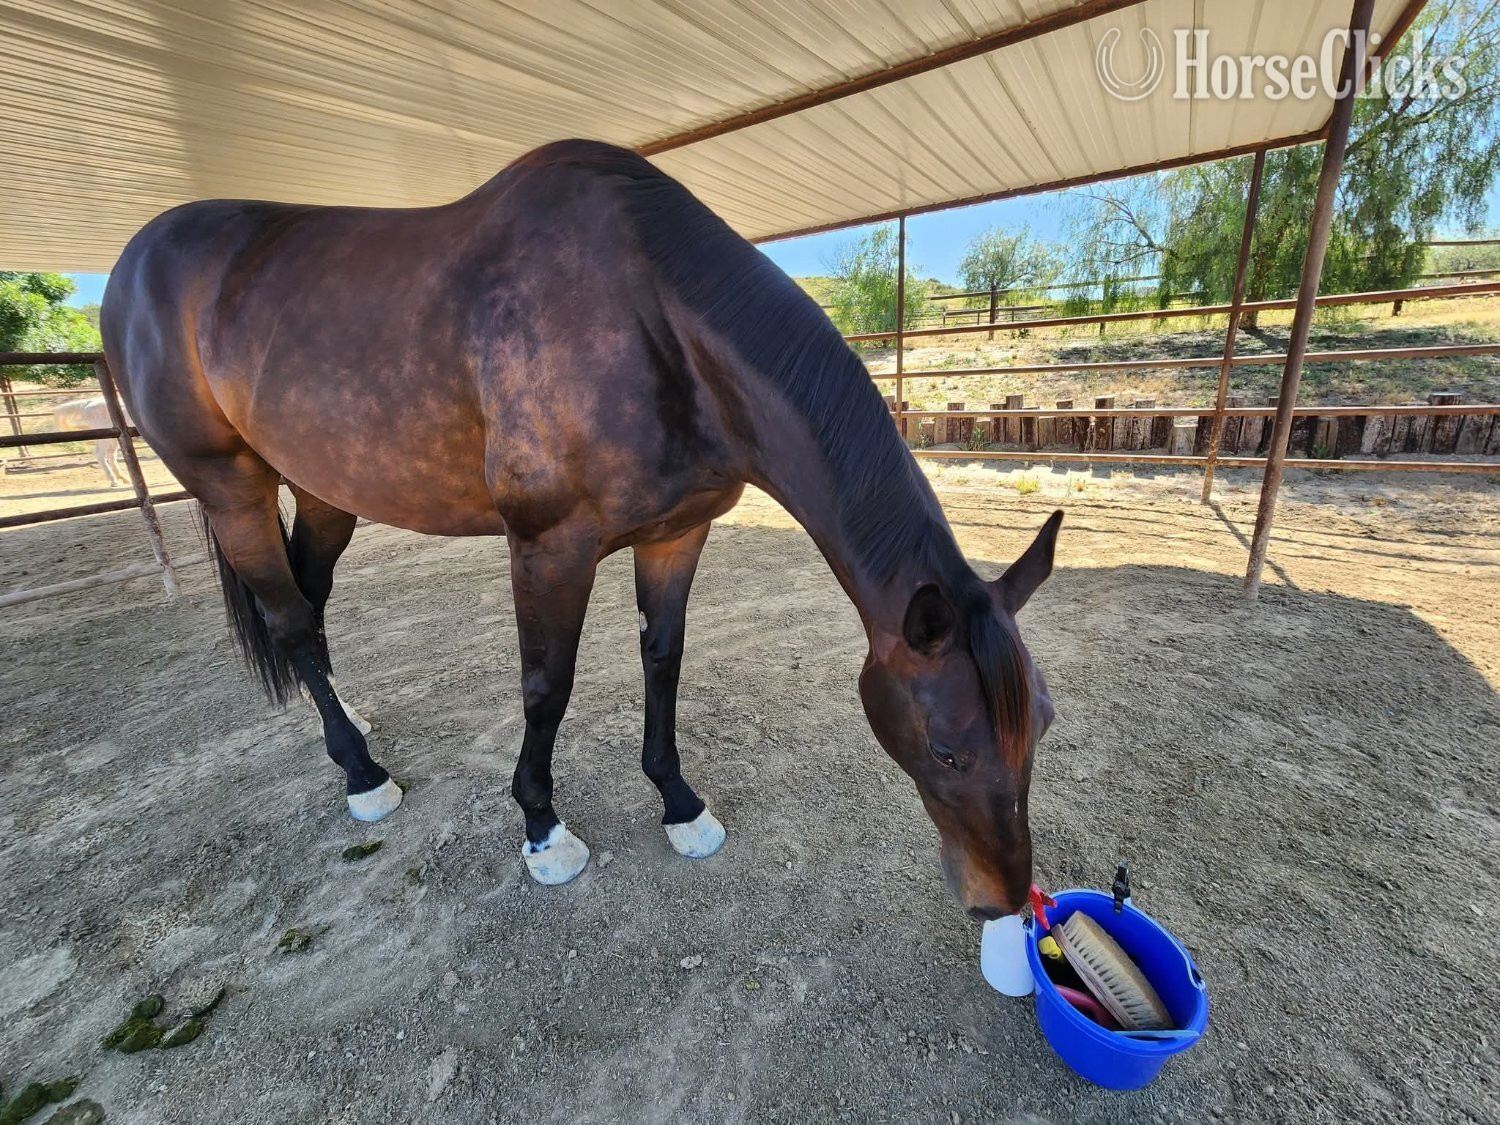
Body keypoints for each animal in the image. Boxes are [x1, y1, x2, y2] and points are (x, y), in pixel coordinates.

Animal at [100, 139, 1061, 918]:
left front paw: (680, 803)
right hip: (231, 486)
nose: (1003, 900)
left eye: (1042, 726)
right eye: (947, 750)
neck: (653, 318)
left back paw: (350, 726)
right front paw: (541, 828)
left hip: (325, 485)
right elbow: (545, 686)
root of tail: (137, 261)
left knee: (310, 596)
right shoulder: (548, 549)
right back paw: (362, 774)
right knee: (291, 616)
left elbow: (663, 660)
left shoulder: (677, 535)